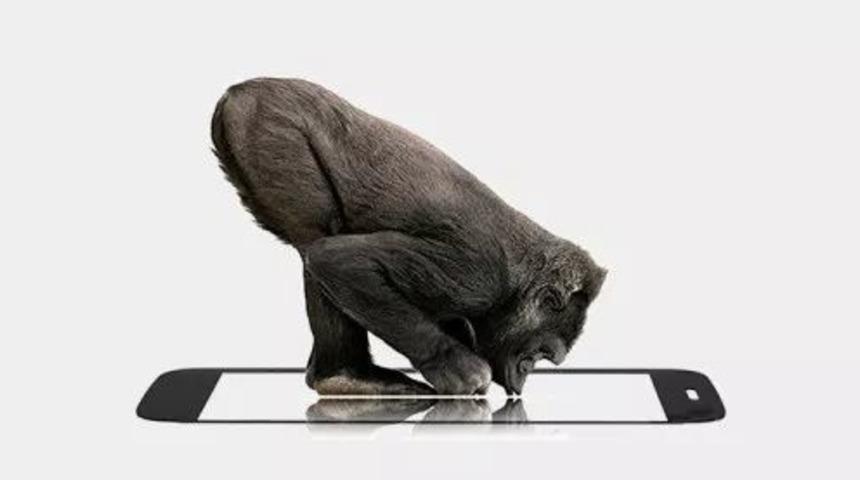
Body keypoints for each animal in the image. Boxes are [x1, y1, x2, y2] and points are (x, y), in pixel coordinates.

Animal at [211, 78, 606, 396]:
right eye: (539, 354)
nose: (524, 378)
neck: (516, 286)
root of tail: (237, 91)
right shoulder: (477, 276)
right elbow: (340, 262)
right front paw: (454, 367)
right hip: (270, 126)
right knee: (316, 240)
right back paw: (345, 375)